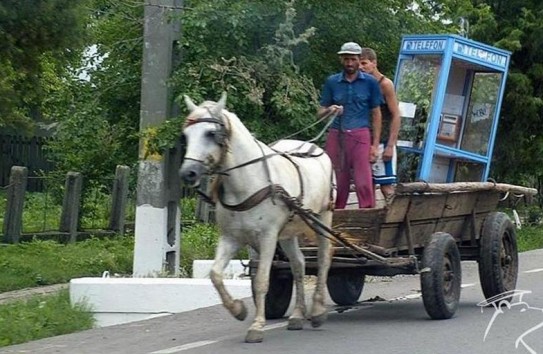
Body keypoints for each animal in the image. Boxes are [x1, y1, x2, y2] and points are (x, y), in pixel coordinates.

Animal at [180, 92, 336, 342]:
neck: (247, 181)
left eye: (211, 133)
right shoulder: (231, 237)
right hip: (289, 232)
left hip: (322, 218)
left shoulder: (268, 237)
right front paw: (238, 310)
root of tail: (314, 147)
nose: (188, 173)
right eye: (185, 135)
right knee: (299, 264)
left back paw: (318, 311)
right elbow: (215, 274)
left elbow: (262, 280)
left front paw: (256, 326)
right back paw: (297, 315)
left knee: (323, 259)